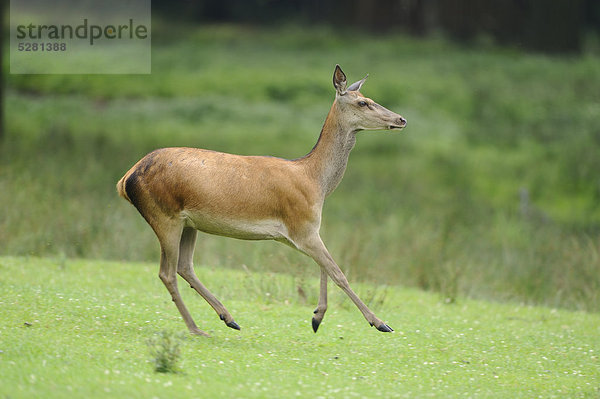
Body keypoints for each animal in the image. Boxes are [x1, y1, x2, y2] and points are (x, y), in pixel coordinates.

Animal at [116, 66, 408, 338]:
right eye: (363, 102)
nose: (401, 119)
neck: (316, 182)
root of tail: (126, 179)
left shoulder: (301, 231)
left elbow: (324, 267)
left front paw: (317, 317)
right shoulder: (301, 224)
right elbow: (338, 273)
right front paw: (380, 323)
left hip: (189, 223)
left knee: (184, 267)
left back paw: (228, 318)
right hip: (164, 215)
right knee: (166, 272)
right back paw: (197, 328)